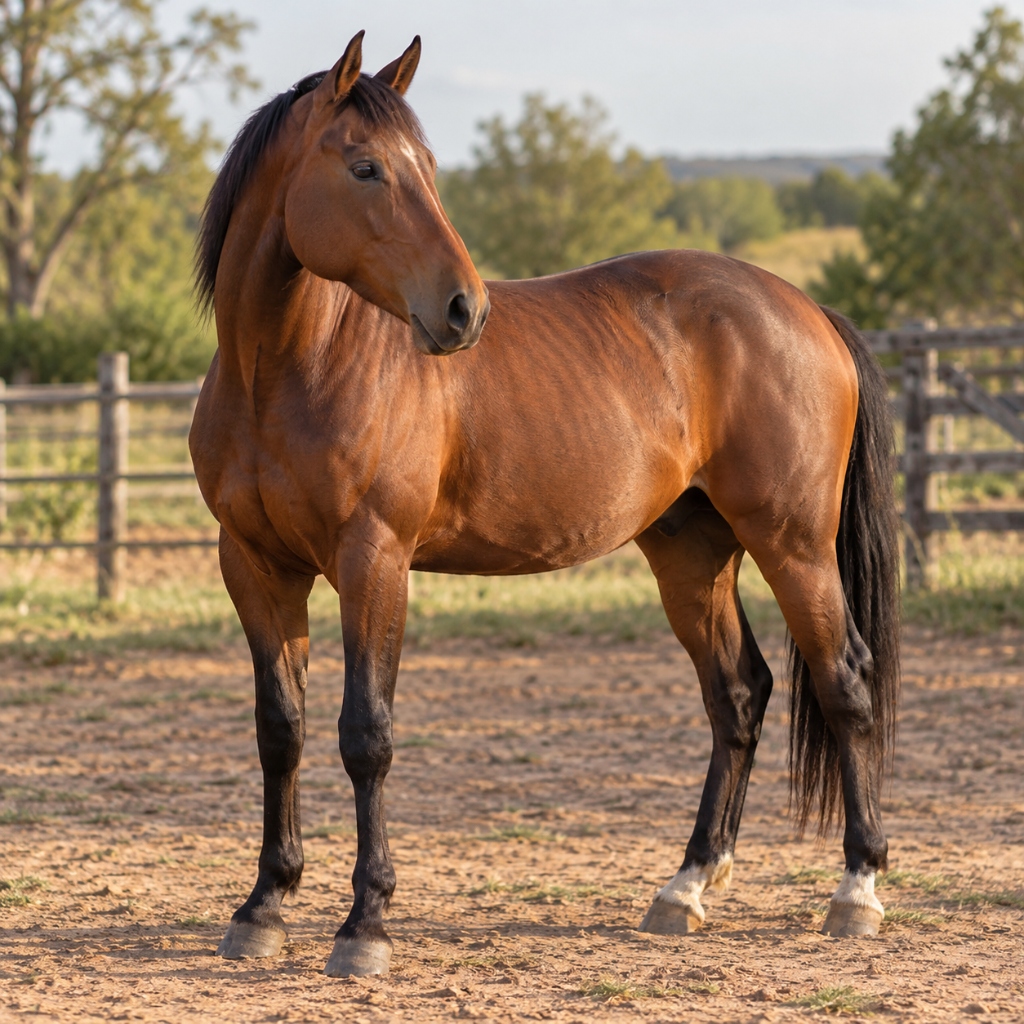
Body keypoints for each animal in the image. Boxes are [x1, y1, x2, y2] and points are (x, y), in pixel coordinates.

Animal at [189, 31, 900, 978]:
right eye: (367, 167)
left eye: (428, 168)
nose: (463, 309)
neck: (288, 374)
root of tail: (807, 309)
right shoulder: (255, 566)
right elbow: (282, 731)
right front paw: (264, 906)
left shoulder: (374, 561)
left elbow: (366, 735)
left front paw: (365, 924)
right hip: (691, 553)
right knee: (739, 694)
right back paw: (687, 887)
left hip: (794, 546)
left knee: (844, 680)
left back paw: (856, 889)